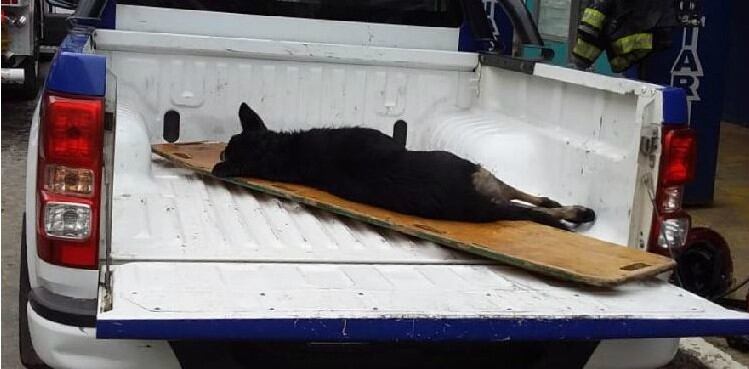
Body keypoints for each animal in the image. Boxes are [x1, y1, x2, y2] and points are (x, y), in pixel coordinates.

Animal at [212, 103, 596, 230]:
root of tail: (476, 201)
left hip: (482, 174)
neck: (287, 152)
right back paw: (575, 213)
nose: (218, 159)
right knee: (532, 207)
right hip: (477, 176)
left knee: (528, 197)